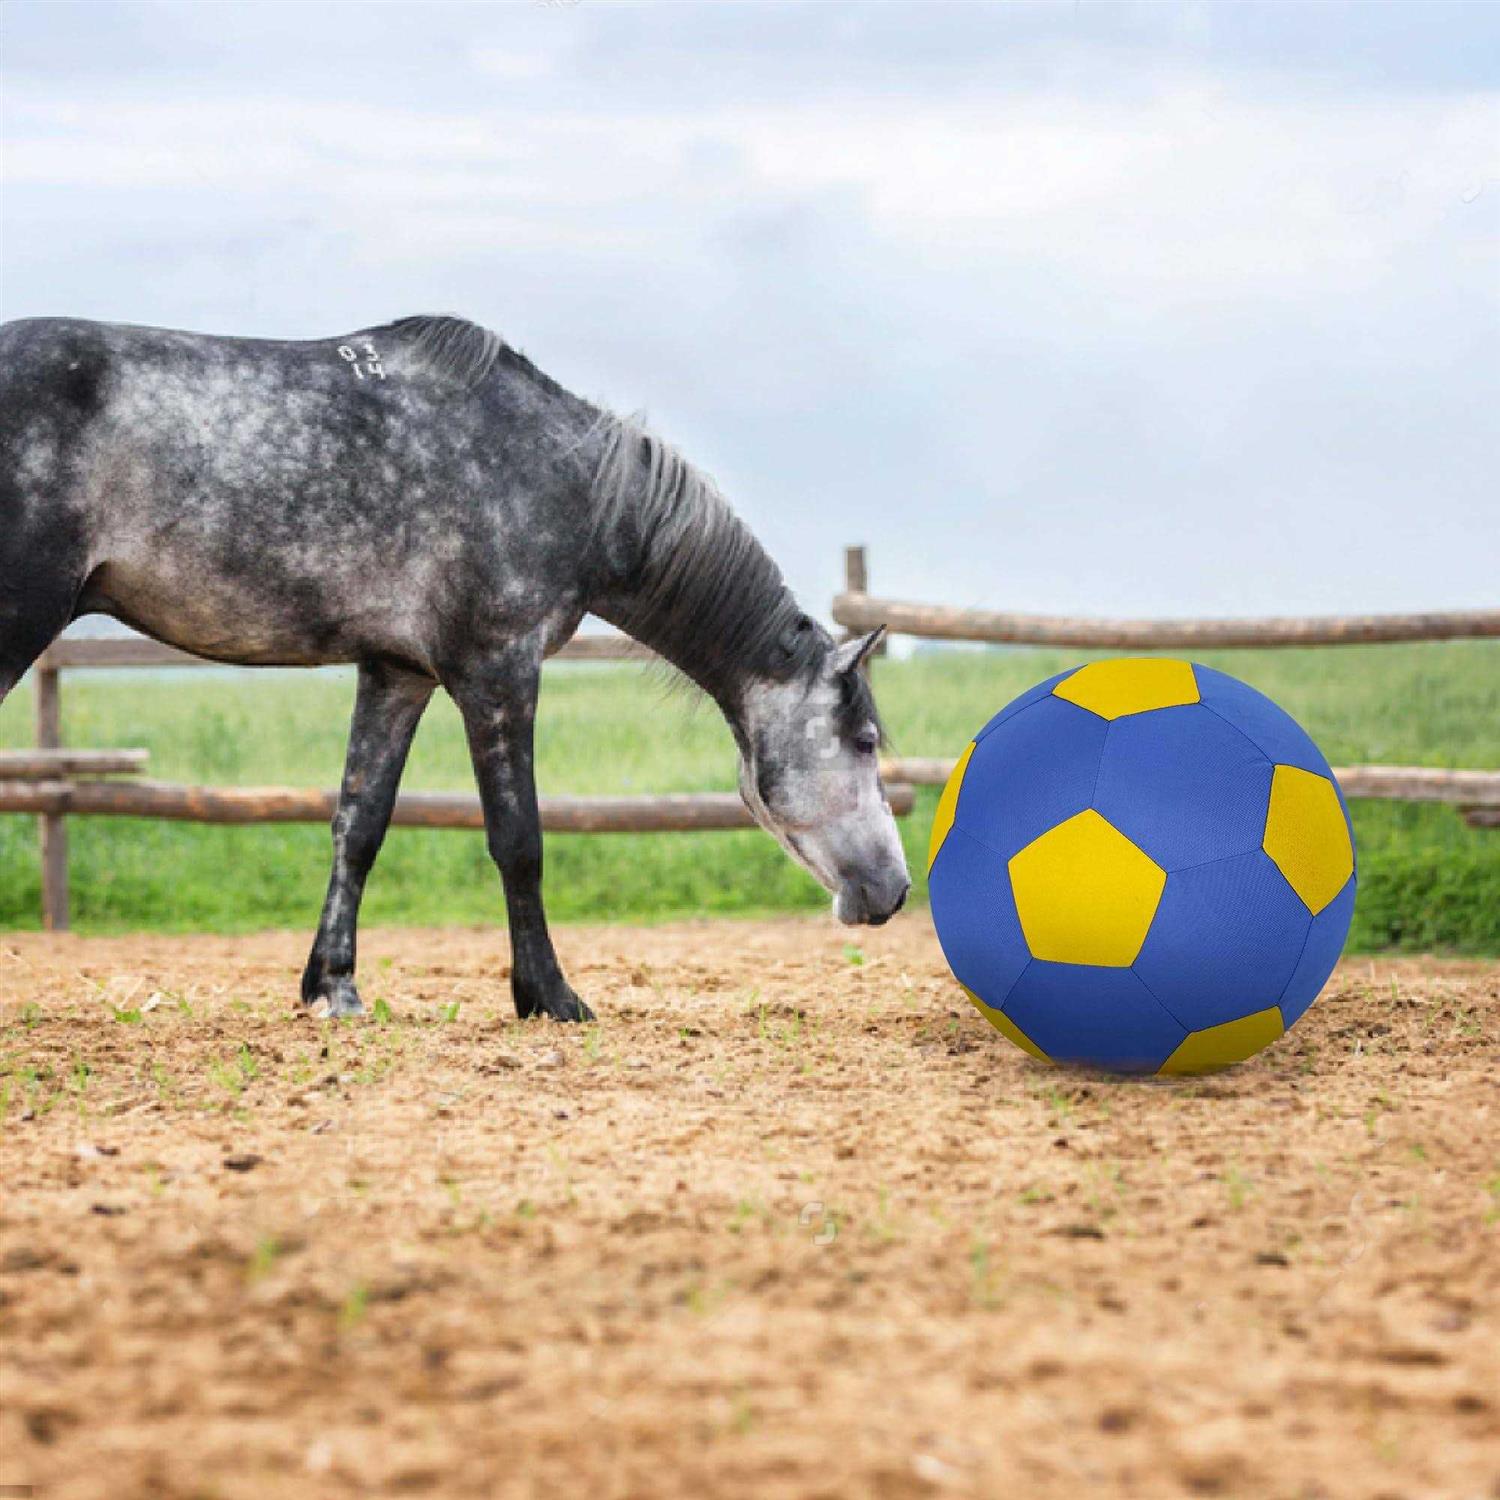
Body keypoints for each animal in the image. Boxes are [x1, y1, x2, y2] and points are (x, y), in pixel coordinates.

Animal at [0, 314, 910, 1020]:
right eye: (865, 741)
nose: (897, 891)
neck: (562, 478)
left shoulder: (396, 671)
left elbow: (359, 824)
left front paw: (333, 987)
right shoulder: (497, 670)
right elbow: (519, 840)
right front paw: (550, 997)